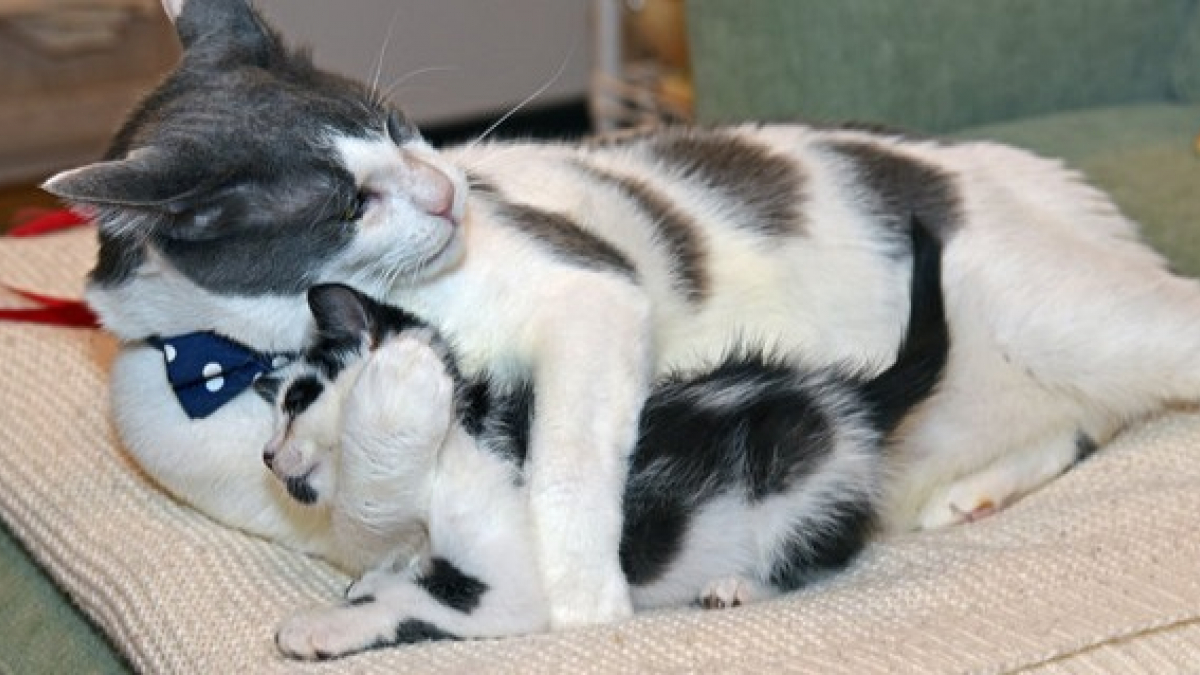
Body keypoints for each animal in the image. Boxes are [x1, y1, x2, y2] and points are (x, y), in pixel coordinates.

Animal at [262, 216, 945, 658]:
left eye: (295, 401)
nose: (267, 456)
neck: (460, 438)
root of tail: (852, 399)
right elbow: (405, 576)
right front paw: (372, 581)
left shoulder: (514, 584)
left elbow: (412, 603)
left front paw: (321, 627)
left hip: (802, 497)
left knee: (824, 555)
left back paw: (740, 585)